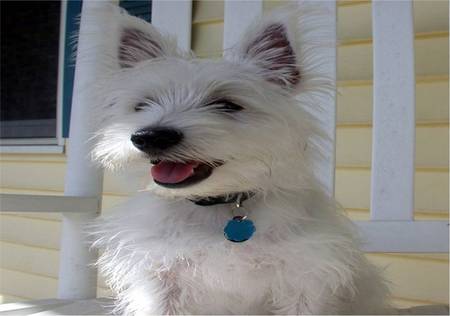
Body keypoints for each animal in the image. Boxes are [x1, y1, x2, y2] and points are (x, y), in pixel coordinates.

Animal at [89, 3, 390, 316]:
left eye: (227, 105)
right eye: (142, 105)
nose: (150, 136)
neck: (219, 205)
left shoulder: (304, 278)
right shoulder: (160, 279)